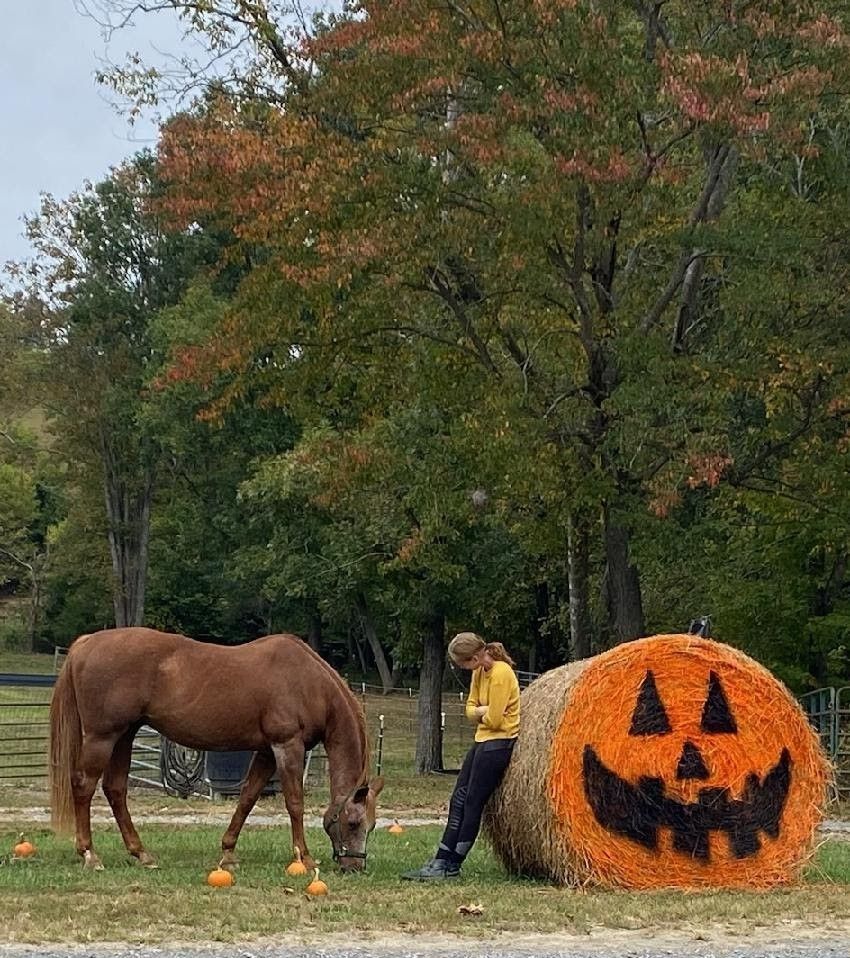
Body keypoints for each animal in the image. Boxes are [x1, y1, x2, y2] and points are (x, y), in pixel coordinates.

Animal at [49, 628, 383, 872]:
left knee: (115, 789)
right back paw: (90, 854)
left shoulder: (266, 752)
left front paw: (228, 851)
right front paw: (304, 857)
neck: (308, 682)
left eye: (372, 826)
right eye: (353, 823)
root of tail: (86, 643)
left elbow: (247, 798)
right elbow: (294, 803)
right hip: (102, 737)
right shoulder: (287, 747)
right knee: (84, 786)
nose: (354, 866)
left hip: (124, 736)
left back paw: (141, 853)